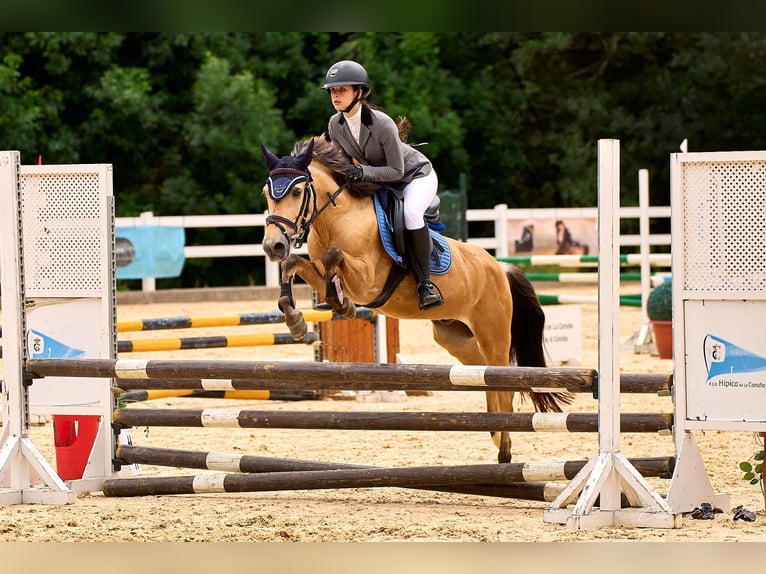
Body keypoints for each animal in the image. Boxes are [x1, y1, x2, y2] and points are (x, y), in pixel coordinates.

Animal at [260, 137, 572, 466]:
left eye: (296, 192)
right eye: (267, 193)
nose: (273, 245)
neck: (337, 219)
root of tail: (499, 267)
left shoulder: (367, 281)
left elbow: (334, 256)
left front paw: (341, 305)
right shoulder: (320, 273)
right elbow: (293, 263)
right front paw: (296, 322)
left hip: (493, 333)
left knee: (504, 381)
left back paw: (504, 448)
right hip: (454, 337)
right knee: (486, 376)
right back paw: (496, 434)